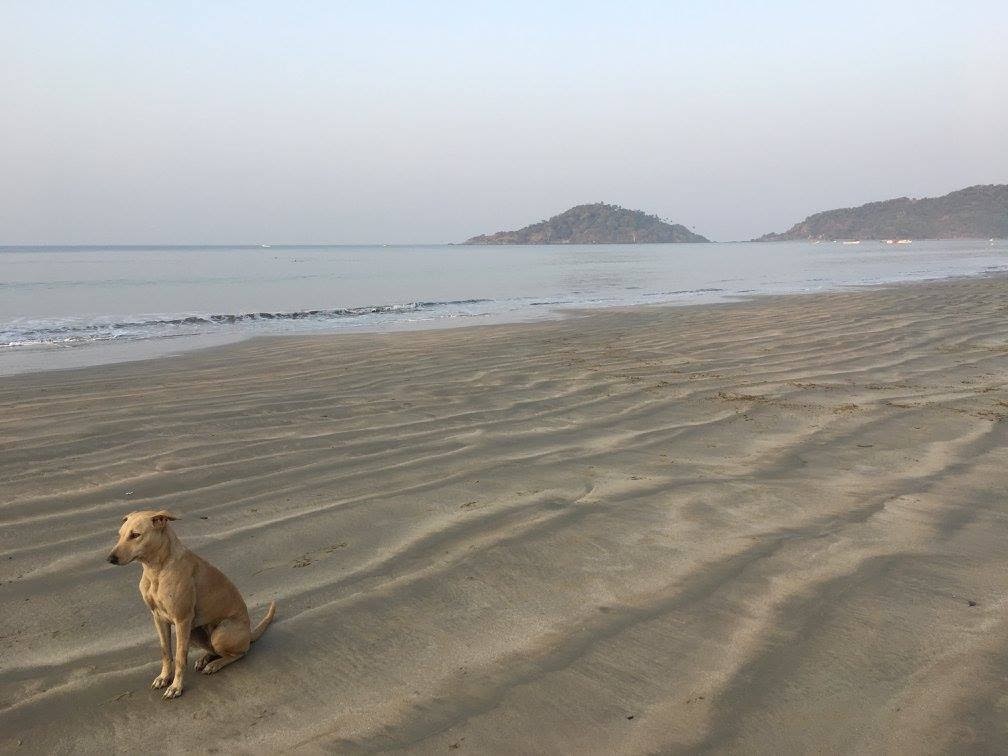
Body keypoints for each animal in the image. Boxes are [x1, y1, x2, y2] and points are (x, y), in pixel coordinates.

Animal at [106, 512, 276, 701]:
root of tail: (249, 633)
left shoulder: (182, 620)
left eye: (135, 535)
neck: (156, 569)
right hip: (195, 633)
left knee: (239, 653)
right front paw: (164, 677)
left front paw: (176, 687)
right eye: (120, 535)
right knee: (216, 650)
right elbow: (166, 652)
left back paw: (215, 664)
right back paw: (205, 659)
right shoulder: (158, 618)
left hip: (219, 633)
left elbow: (180, 658)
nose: (110, 559)